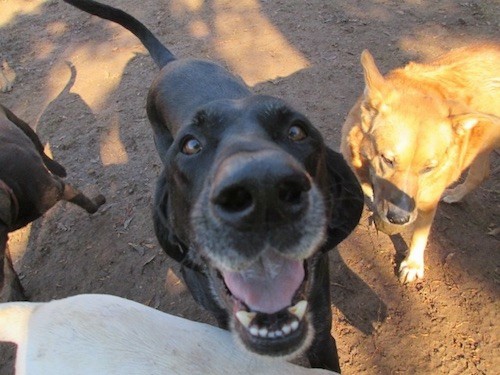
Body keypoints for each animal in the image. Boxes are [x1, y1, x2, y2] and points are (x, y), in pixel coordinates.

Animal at [0, 103, 105, 302]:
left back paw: (58, 168)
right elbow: (11, 276)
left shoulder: (59, 189)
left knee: (40, 149)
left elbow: (85, 202)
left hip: (23, 125)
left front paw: (97, 202)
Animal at [340, 44, 500, 284]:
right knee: (481, 173)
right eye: (388, 160)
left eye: (428, 168)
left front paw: (413, 264)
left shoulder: (426, 203)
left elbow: (420, 234)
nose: (399, 218)